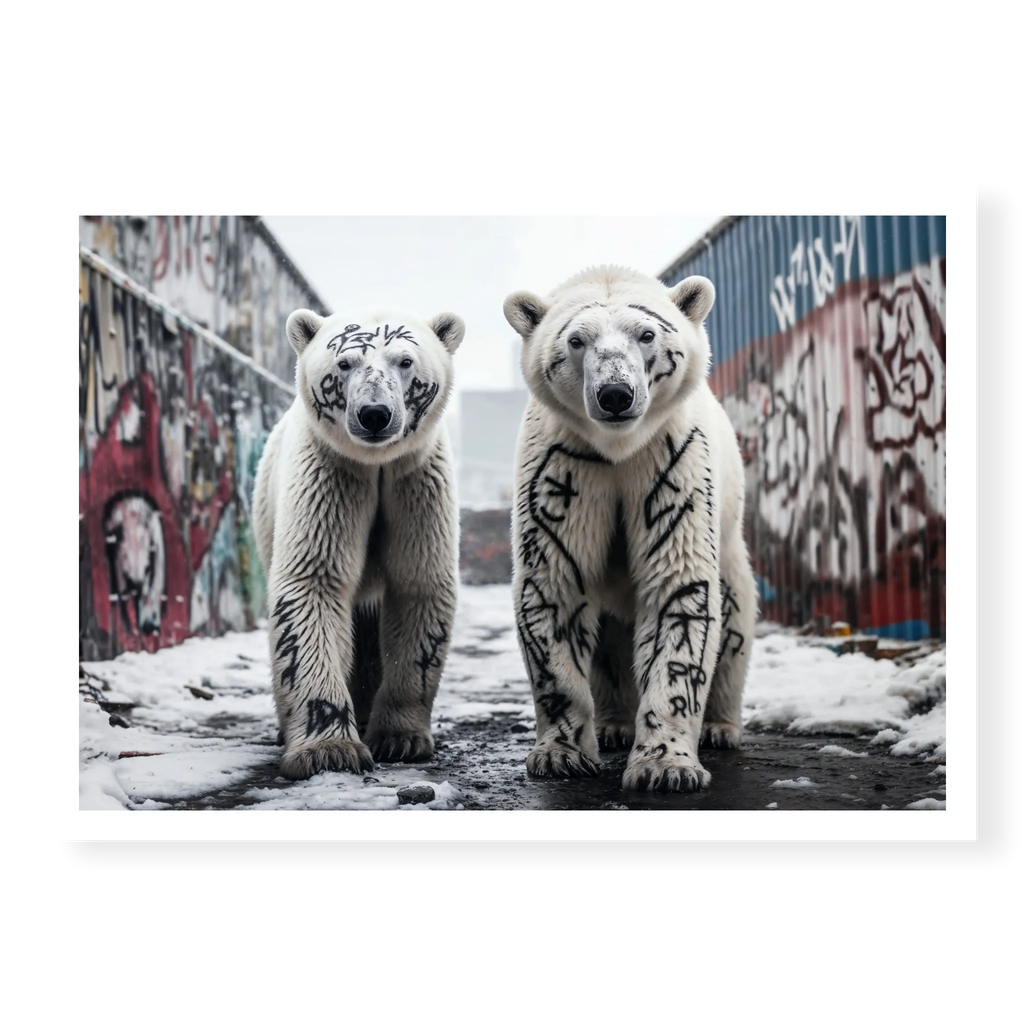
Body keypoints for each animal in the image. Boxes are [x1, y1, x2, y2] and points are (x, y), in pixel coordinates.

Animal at [253, 307, 465, 781]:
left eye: (405, 361)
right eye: (345, 362)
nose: (374, 414)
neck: (377, 463)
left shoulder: (415, 481)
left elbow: (418, 585)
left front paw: (400, 738)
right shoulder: (331, 472)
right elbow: (312, 584)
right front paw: (328, 749)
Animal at [503, 265, 757, 793]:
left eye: (647, 334)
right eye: (576, 340)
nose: (616, 394)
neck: (618, 448)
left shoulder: (671, 460)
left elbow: (679, 590)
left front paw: (667, 766)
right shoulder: (564, 467)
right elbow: (555, 585)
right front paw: (560, 755)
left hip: (731, 547)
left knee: (735, 619)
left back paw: (721, 727)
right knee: (607, 645)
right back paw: (614, 724)